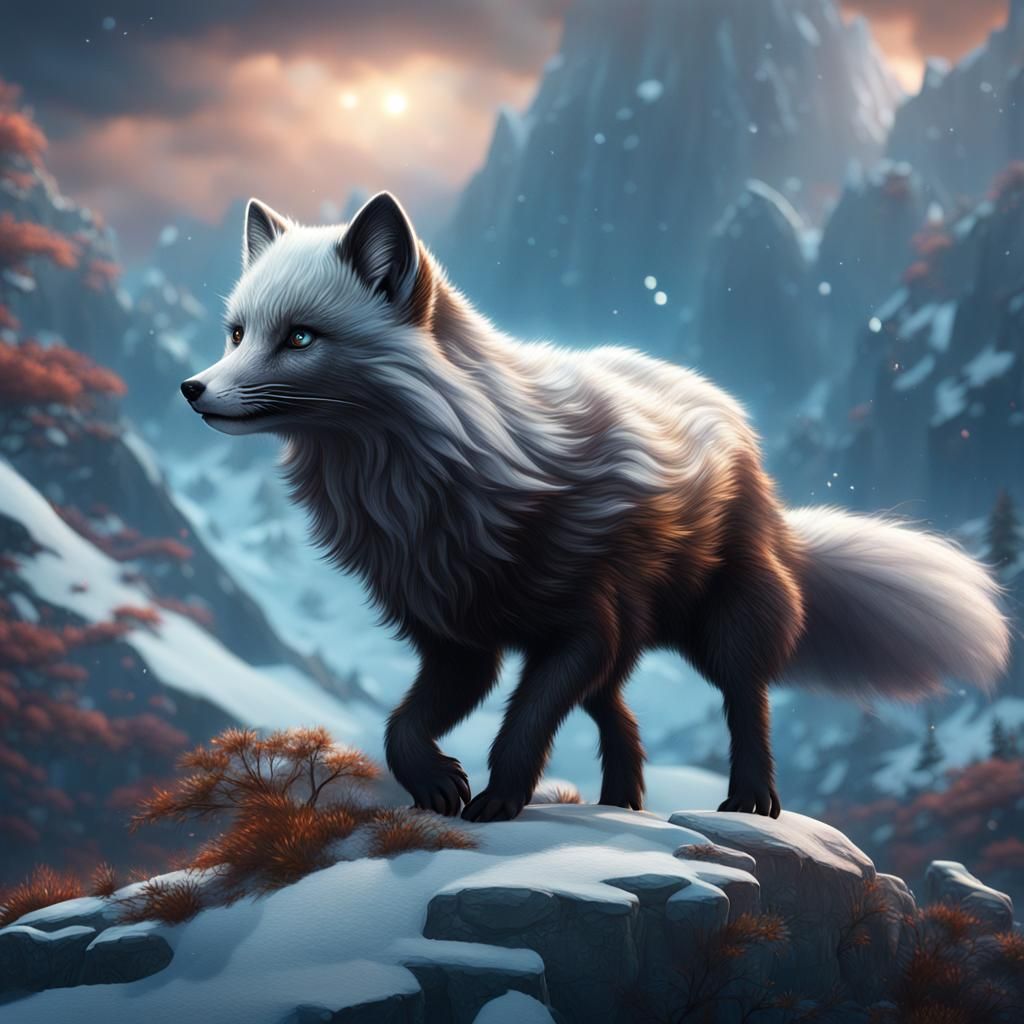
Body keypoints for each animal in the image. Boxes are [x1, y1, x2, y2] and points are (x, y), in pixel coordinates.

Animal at [181, 191, 1010, 823]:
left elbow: (520, 728)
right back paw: (622, 801)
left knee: (746, 702)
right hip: (629, 643)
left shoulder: (580, 628)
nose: (192, 389)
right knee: (623, 718)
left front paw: (497, 801)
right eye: (237, 333)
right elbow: (400, 727)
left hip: (722, 624)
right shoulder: (460, 643)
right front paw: (437, 784)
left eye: (300, 337)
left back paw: (750, 801)